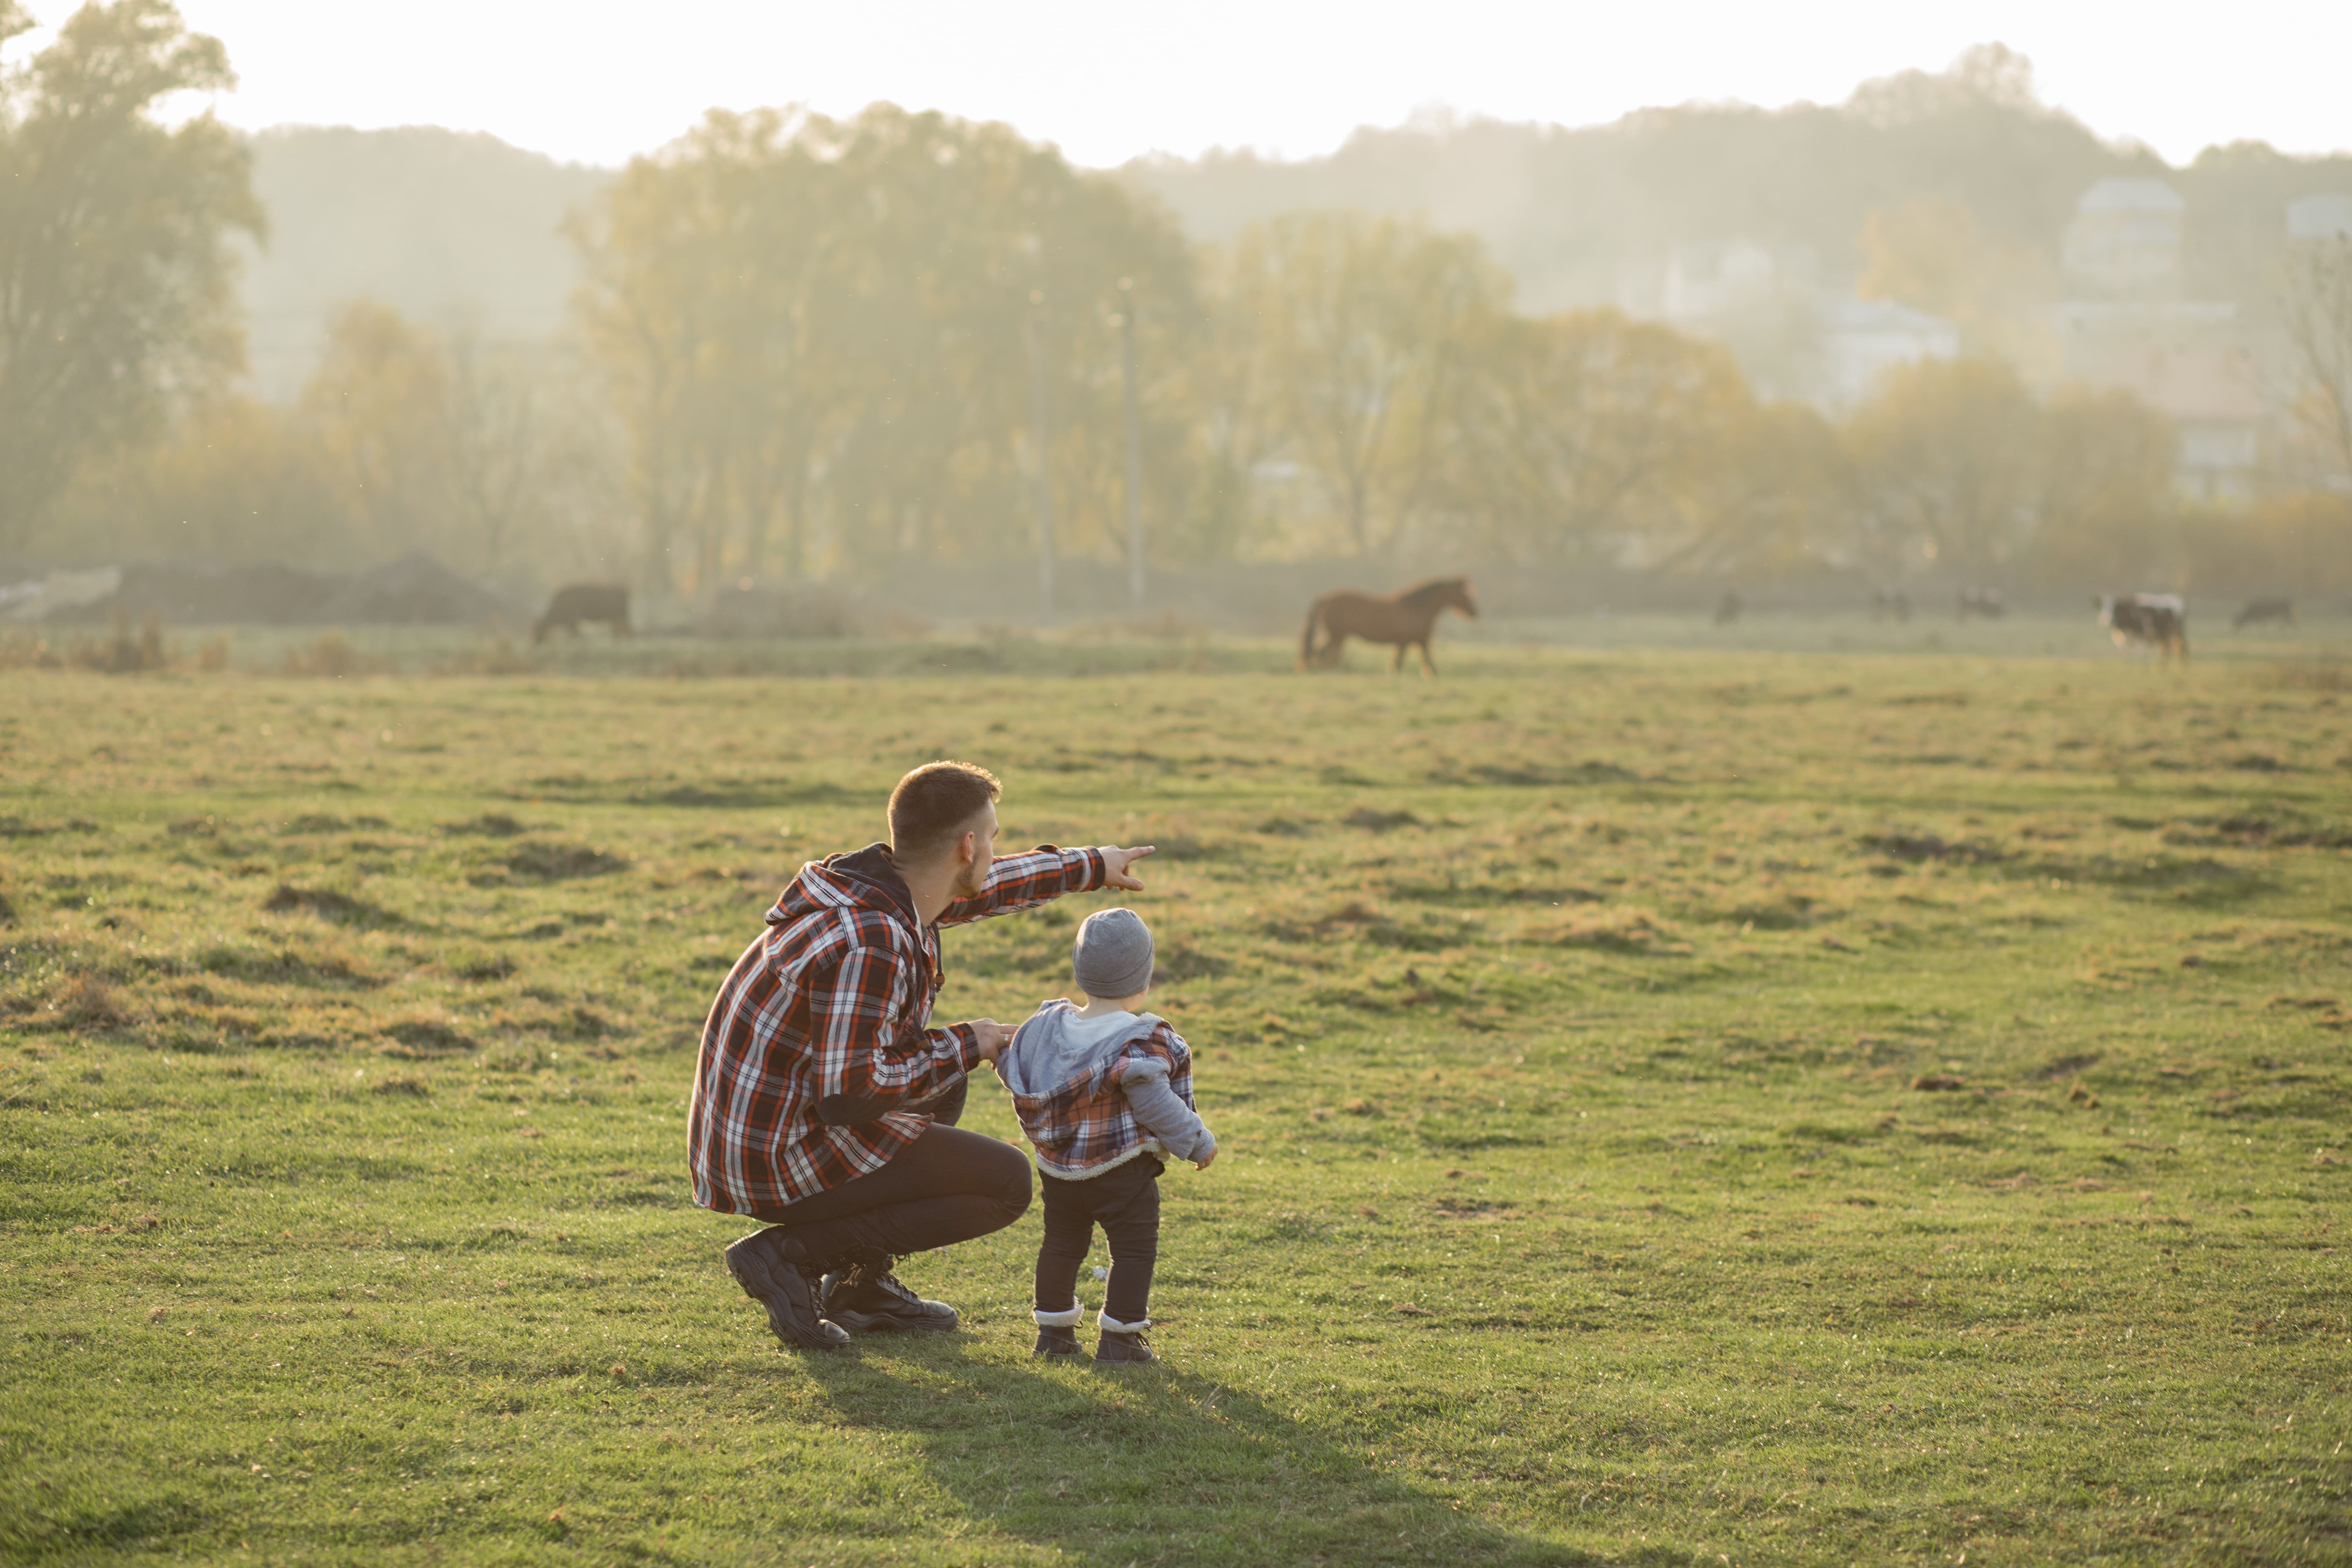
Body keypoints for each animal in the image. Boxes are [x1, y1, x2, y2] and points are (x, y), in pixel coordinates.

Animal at [536, 583, 630, 644]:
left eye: (539, 629)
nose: (537, 641)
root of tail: (623, 590)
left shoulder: (572, 622)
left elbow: (575, 633)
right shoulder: (572, 623)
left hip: (619, 617)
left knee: (621, 629)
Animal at [1298, 576, 1477, 677]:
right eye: (1464, 593)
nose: (1476, 611)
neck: (1416, 608)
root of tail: (1325, 598)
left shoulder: (1414, 642)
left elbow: (1412, 661)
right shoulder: (1414, 641)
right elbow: (1418, 662)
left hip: (1339, 636)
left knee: (1323, 654)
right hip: (1337, 635)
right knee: (1323, 654)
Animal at [2098, 592, 2183, 658]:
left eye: (2115, 608)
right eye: (2102, 606)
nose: (2106, 620)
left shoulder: (2141, 639)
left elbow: (2141, 657)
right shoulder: (2125, 643)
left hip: (2175, 636)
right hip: (2164, 638)